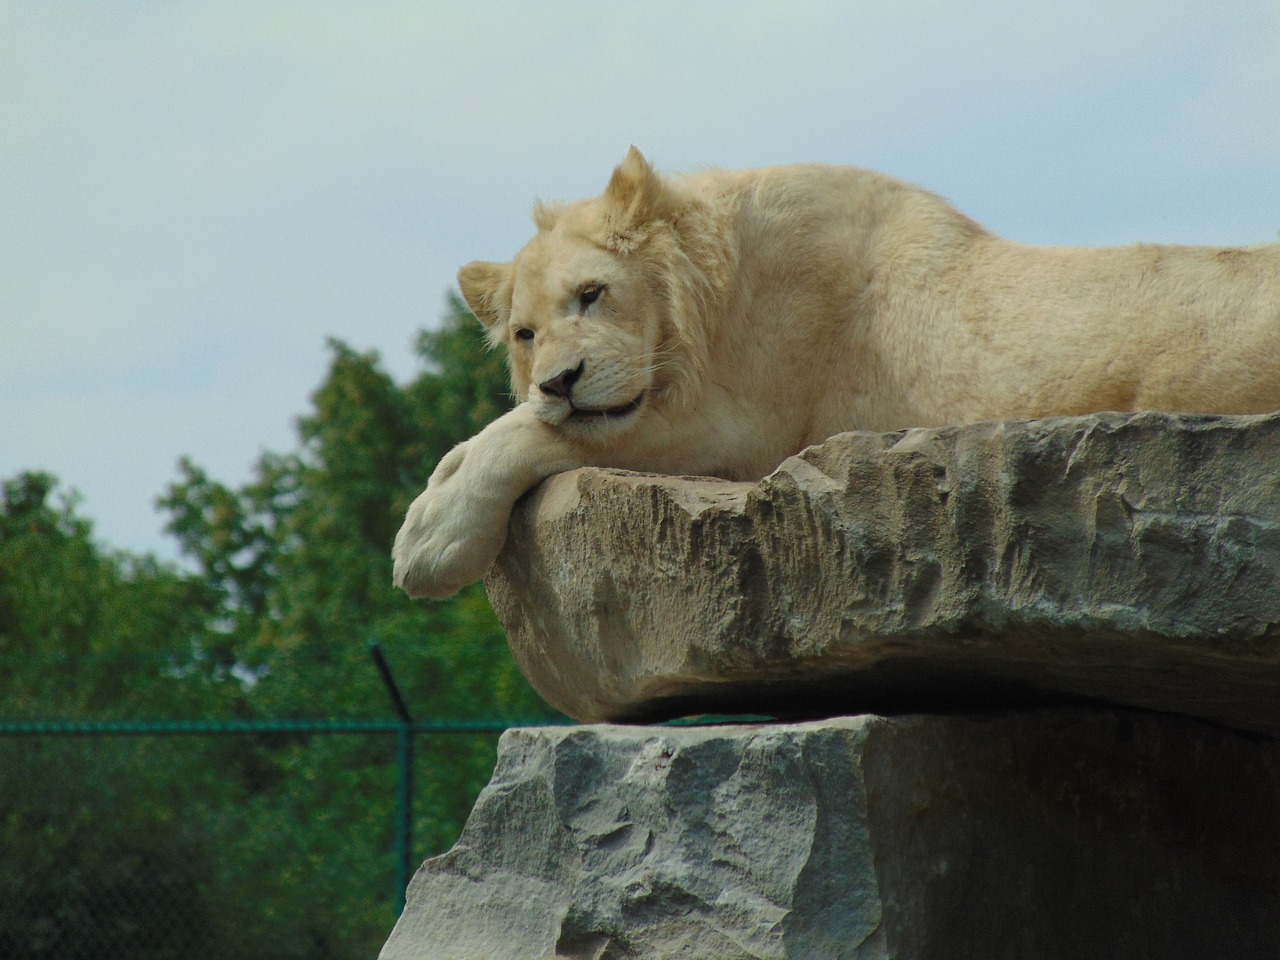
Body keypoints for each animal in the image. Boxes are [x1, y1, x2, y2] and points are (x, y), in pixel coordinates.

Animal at [389, 146, 1280, 599]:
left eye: (592, 293)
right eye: (525, 334)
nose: (558, 381)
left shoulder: (745, 429)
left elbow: (528, 436)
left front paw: (430, 541)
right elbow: (507, 429)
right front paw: (439, 494)